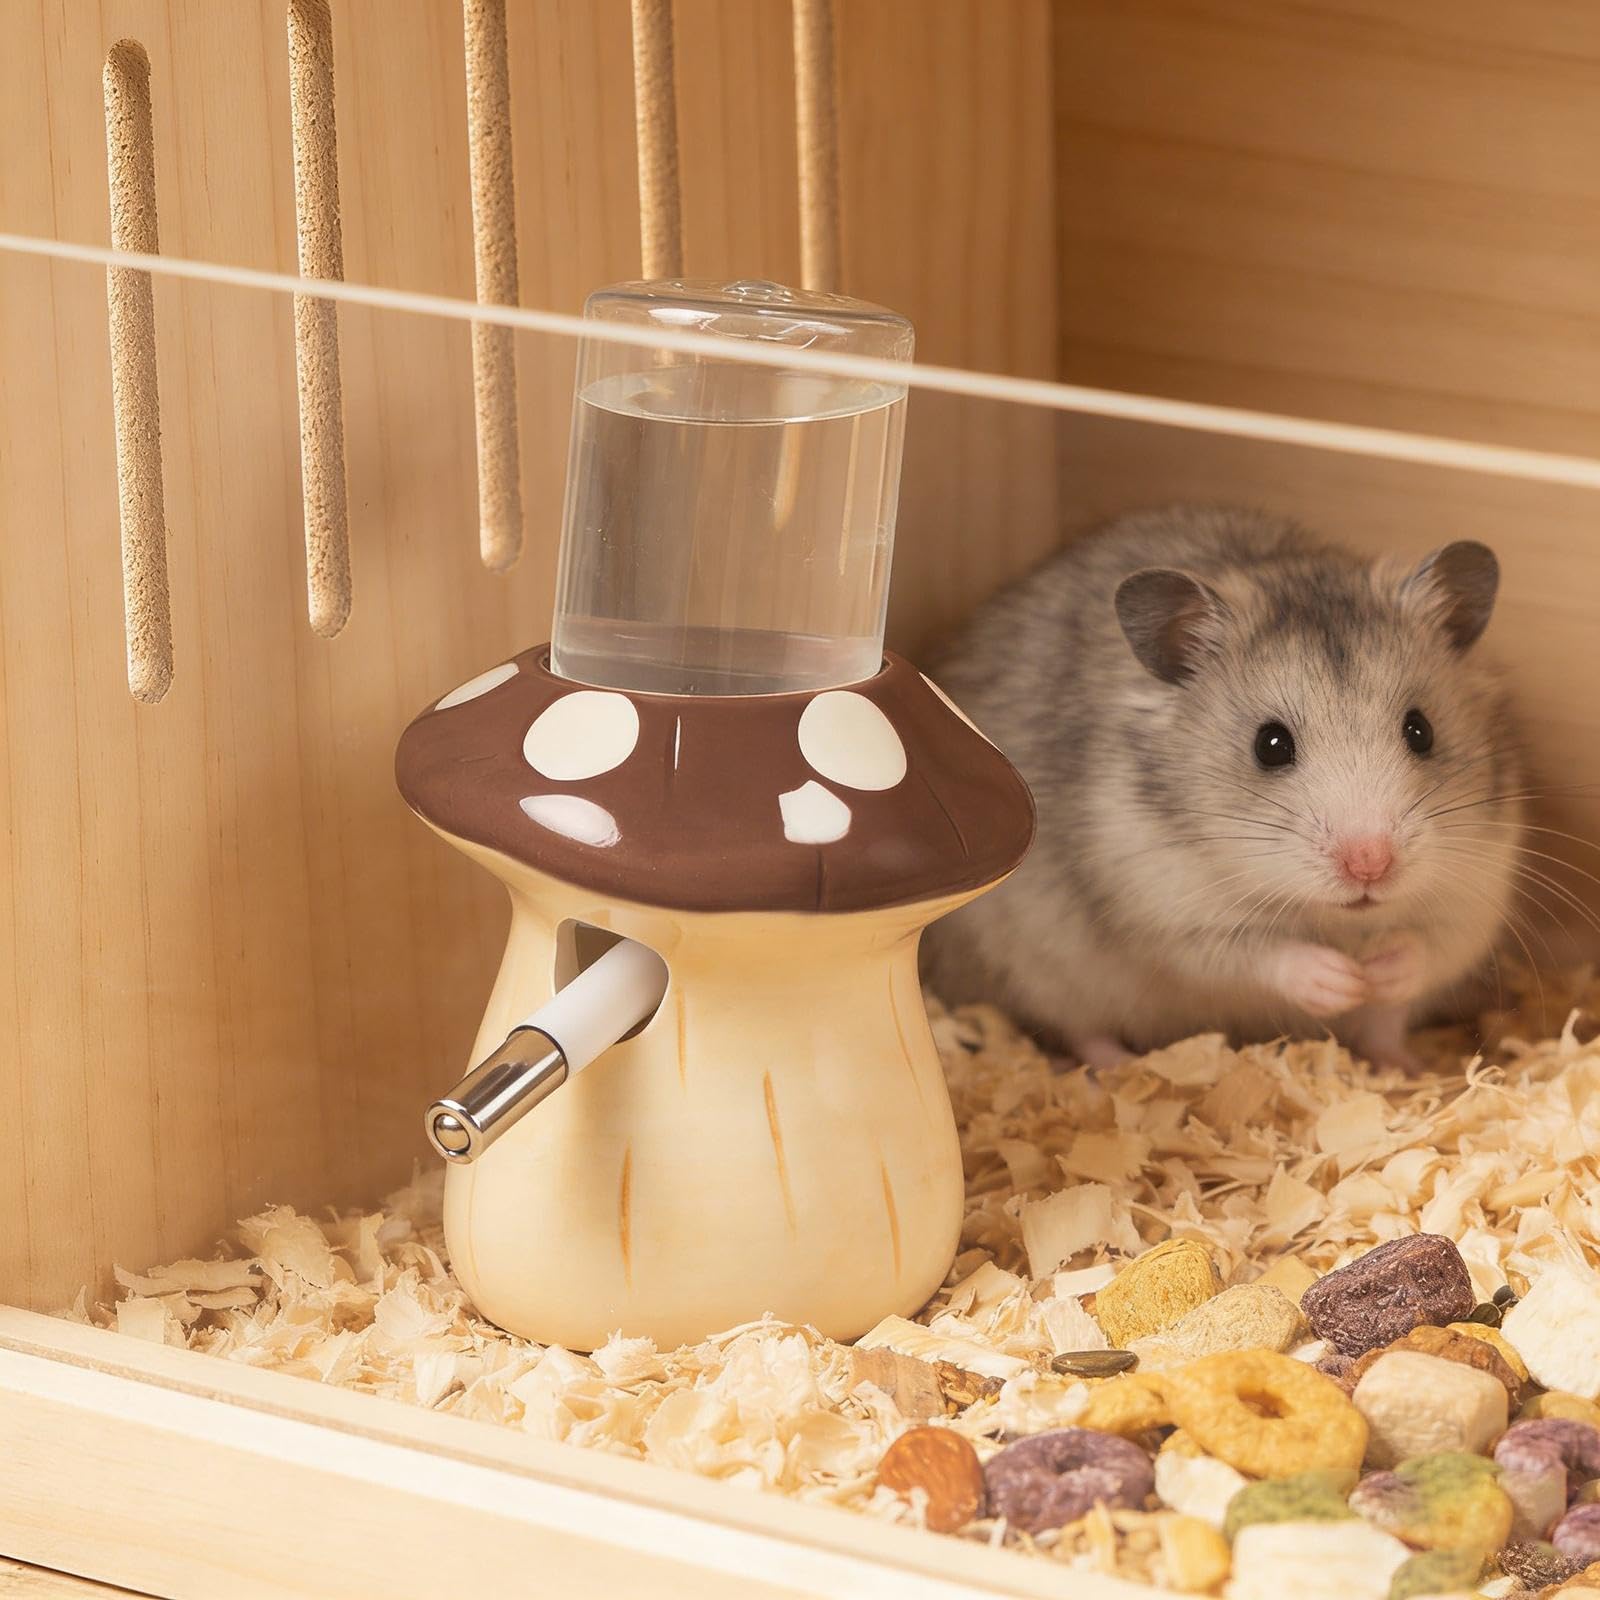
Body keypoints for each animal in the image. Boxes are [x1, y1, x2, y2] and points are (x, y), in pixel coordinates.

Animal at [921, 504, 1525, 1070]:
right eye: (1270, 745)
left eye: (1420, 731)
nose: (1370, 866)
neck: (1333, 917)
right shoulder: (1170, 915)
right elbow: (1257, 954)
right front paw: (1341, 980)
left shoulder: (1473, 898)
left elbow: (1425, 947)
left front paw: (1376, 974)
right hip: (1043, 974)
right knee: (1082, 1031)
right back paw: (1119, 1066)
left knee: (1384, 1029)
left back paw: (1407, 1067)